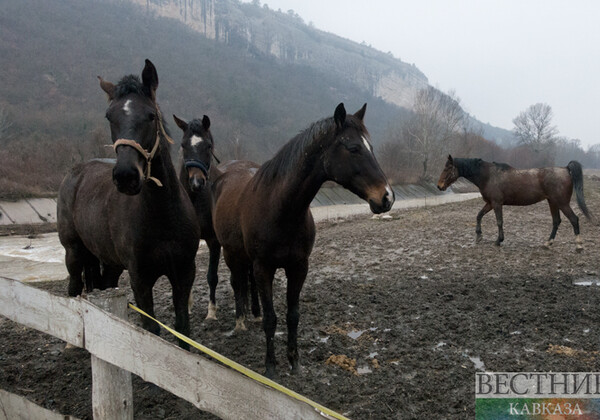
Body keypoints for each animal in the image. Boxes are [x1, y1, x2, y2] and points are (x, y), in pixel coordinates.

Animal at [57, 60, 200, 348]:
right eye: (109, 116)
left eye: (151, 116)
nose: (125, 176)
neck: (163, 217)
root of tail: (74, 173)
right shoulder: (140, 278)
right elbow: (150, 330)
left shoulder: (183, 273)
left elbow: (183, 330)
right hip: (74, 252)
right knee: (74, 287)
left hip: (109, 263)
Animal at [171, 113, 260, 320]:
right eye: (183, 145)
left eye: (209, 146)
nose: (196, 182)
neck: (197, 200)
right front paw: (188, 305)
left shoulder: (214, 241)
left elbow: (212, 276)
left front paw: (211, 311)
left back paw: (255, 310)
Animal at [211, 102, 394, 378]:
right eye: (353, 148)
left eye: (370, 147)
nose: (387, 197)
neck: (280, 209)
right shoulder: (264, 268)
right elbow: (271, 319)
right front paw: (270, 368)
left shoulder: (299, 267)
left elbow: (293, 315)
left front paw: (294, 362)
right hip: (231, 254)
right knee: (237, 283)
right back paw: (240, 322)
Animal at [436, 156, 592, 251]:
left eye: (447, 168)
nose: (439, 186)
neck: (488, 176)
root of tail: (565, 169)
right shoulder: (490, 203)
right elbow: (479, 216)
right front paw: (479, 236)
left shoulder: (496, 204)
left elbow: (499, 221)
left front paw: (499, 240)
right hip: (552, 202)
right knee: (556, 221)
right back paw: (548, 243)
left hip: (562, 203)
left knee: (574, 219)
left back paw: (579, 245)